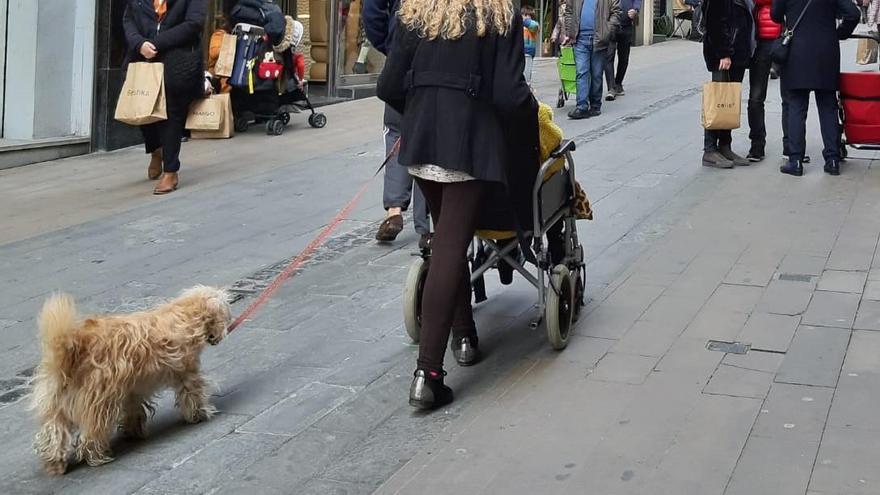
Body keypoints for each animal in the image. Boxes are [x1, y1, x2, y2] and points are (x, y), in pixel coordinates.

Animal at [31, 286, 230, 476]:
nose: (222, 333)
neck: (185, 313)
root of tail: (74, 348)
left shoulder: (131, 391)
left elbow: (133, 410)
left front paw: (133, 430)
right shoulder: (186, 375)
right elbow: (193, 395)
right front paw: (201, 414)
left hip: (57, 408)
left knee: (54, 434)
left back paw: (55, 463)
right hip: (98, 404)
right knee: (90, 435)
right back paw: (97, 456)